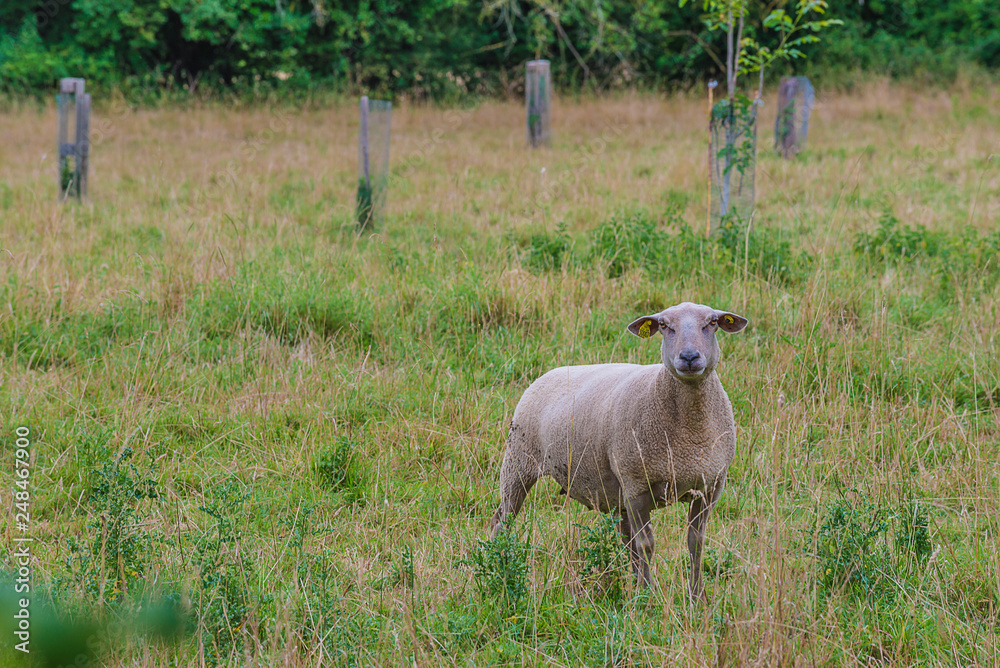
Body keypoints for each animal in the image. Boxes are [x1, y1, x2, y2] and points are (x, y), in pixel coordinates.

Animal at [490, 302, 748, 601]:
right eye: (664, 325)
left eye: (713, 323)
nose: (689, 357)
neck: (690, 435)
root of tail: (548, 373)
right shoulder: (637, 485)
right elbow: (647, 544)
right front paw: (649, 599)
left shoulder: (710, 486)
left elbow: (695, 543)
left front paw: (697, 598)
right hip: (518, 463)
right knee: (501, 521)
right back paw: (499, 569)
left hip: (616, 488)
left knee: (627, 540)